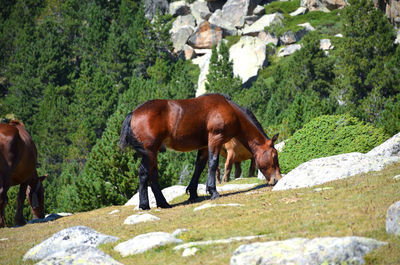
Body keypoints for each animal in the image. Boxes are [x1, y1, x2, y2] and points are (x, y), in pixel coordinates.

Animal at [119, 93, 282, 208]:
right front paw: (213, 191)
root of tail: (133, 113)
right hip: (150, 151)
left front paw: (193, 193)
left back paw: (163, 203)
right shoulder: (215, 138)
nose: (277, 179)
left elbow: (199, 167)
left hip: (153, 152)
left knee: (152, 174)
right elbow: (213, 163)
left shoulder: (204, 146)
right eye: (275, 156)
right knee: (144, 173)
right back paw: (144, 205)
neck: (231, 111)